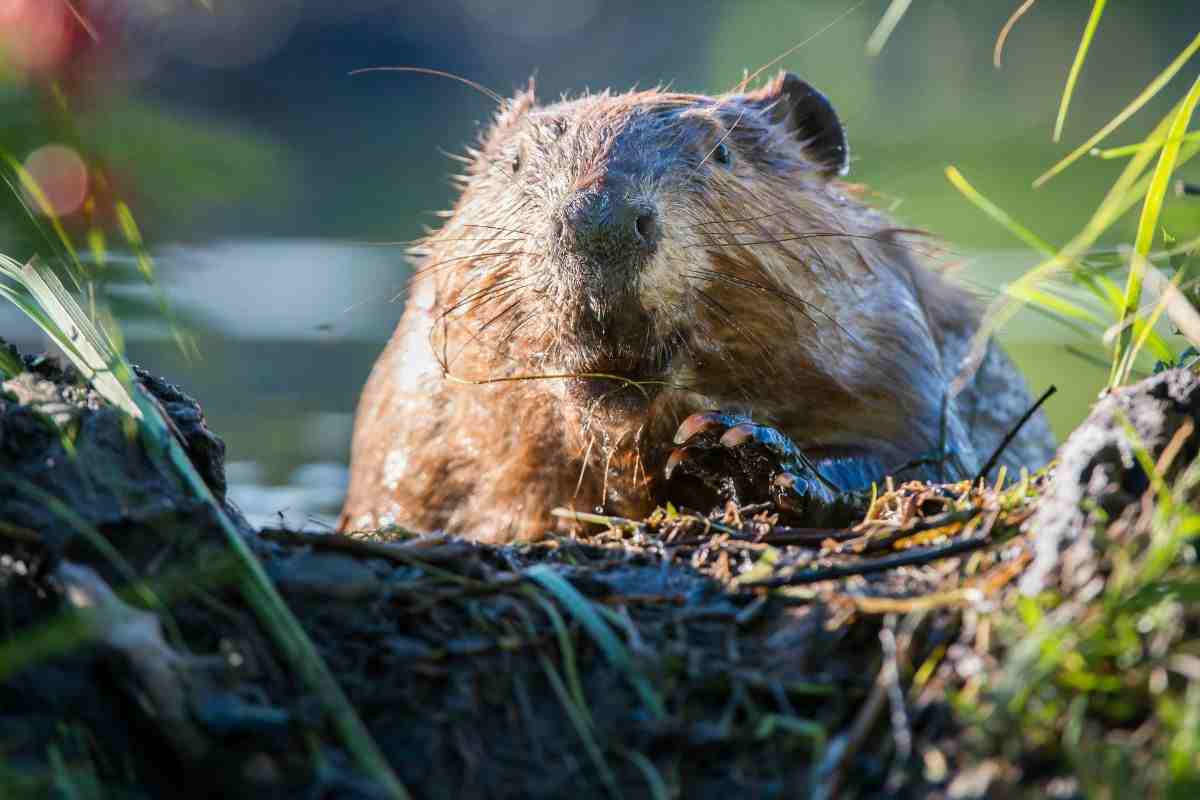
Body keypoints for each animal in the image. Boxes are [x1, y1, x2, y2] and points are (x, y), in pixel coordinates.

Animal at [338, 71, 1051, 542]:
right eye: (513, 163)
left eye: (722, 150)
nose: (598, 218)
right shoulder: (412, 421)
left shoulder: (896, 351)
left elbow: (931, 462)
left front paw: (737, 452)